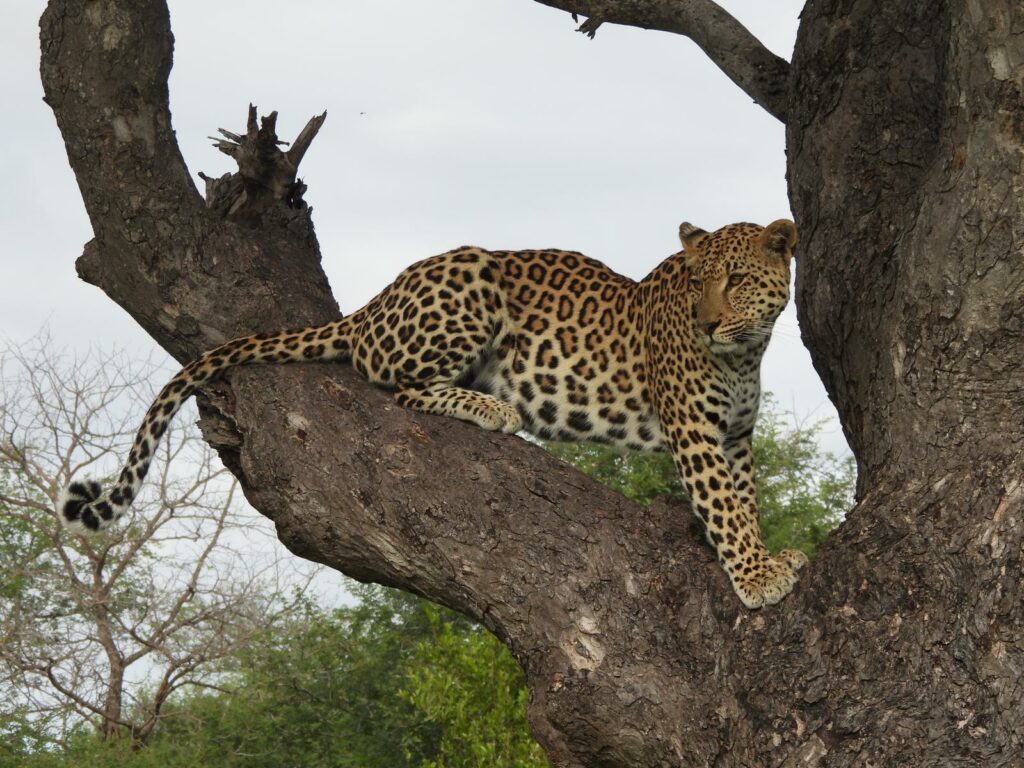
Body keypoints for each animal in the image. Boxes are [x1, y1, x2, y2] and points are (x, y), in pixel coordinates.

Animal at [60, 218, 807, 608]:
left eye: (737, 280)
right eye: (695, 282)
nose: (707, 322)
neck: (747, 350)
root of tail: (374, 303)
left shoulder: (737, 436)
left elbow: (746, 501)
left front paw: (769, 555)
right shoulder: (697, 432)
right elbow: (724, 508)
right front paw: (758, 577)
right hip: (470, 276)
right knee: (398, 385)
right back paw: (491, 405)